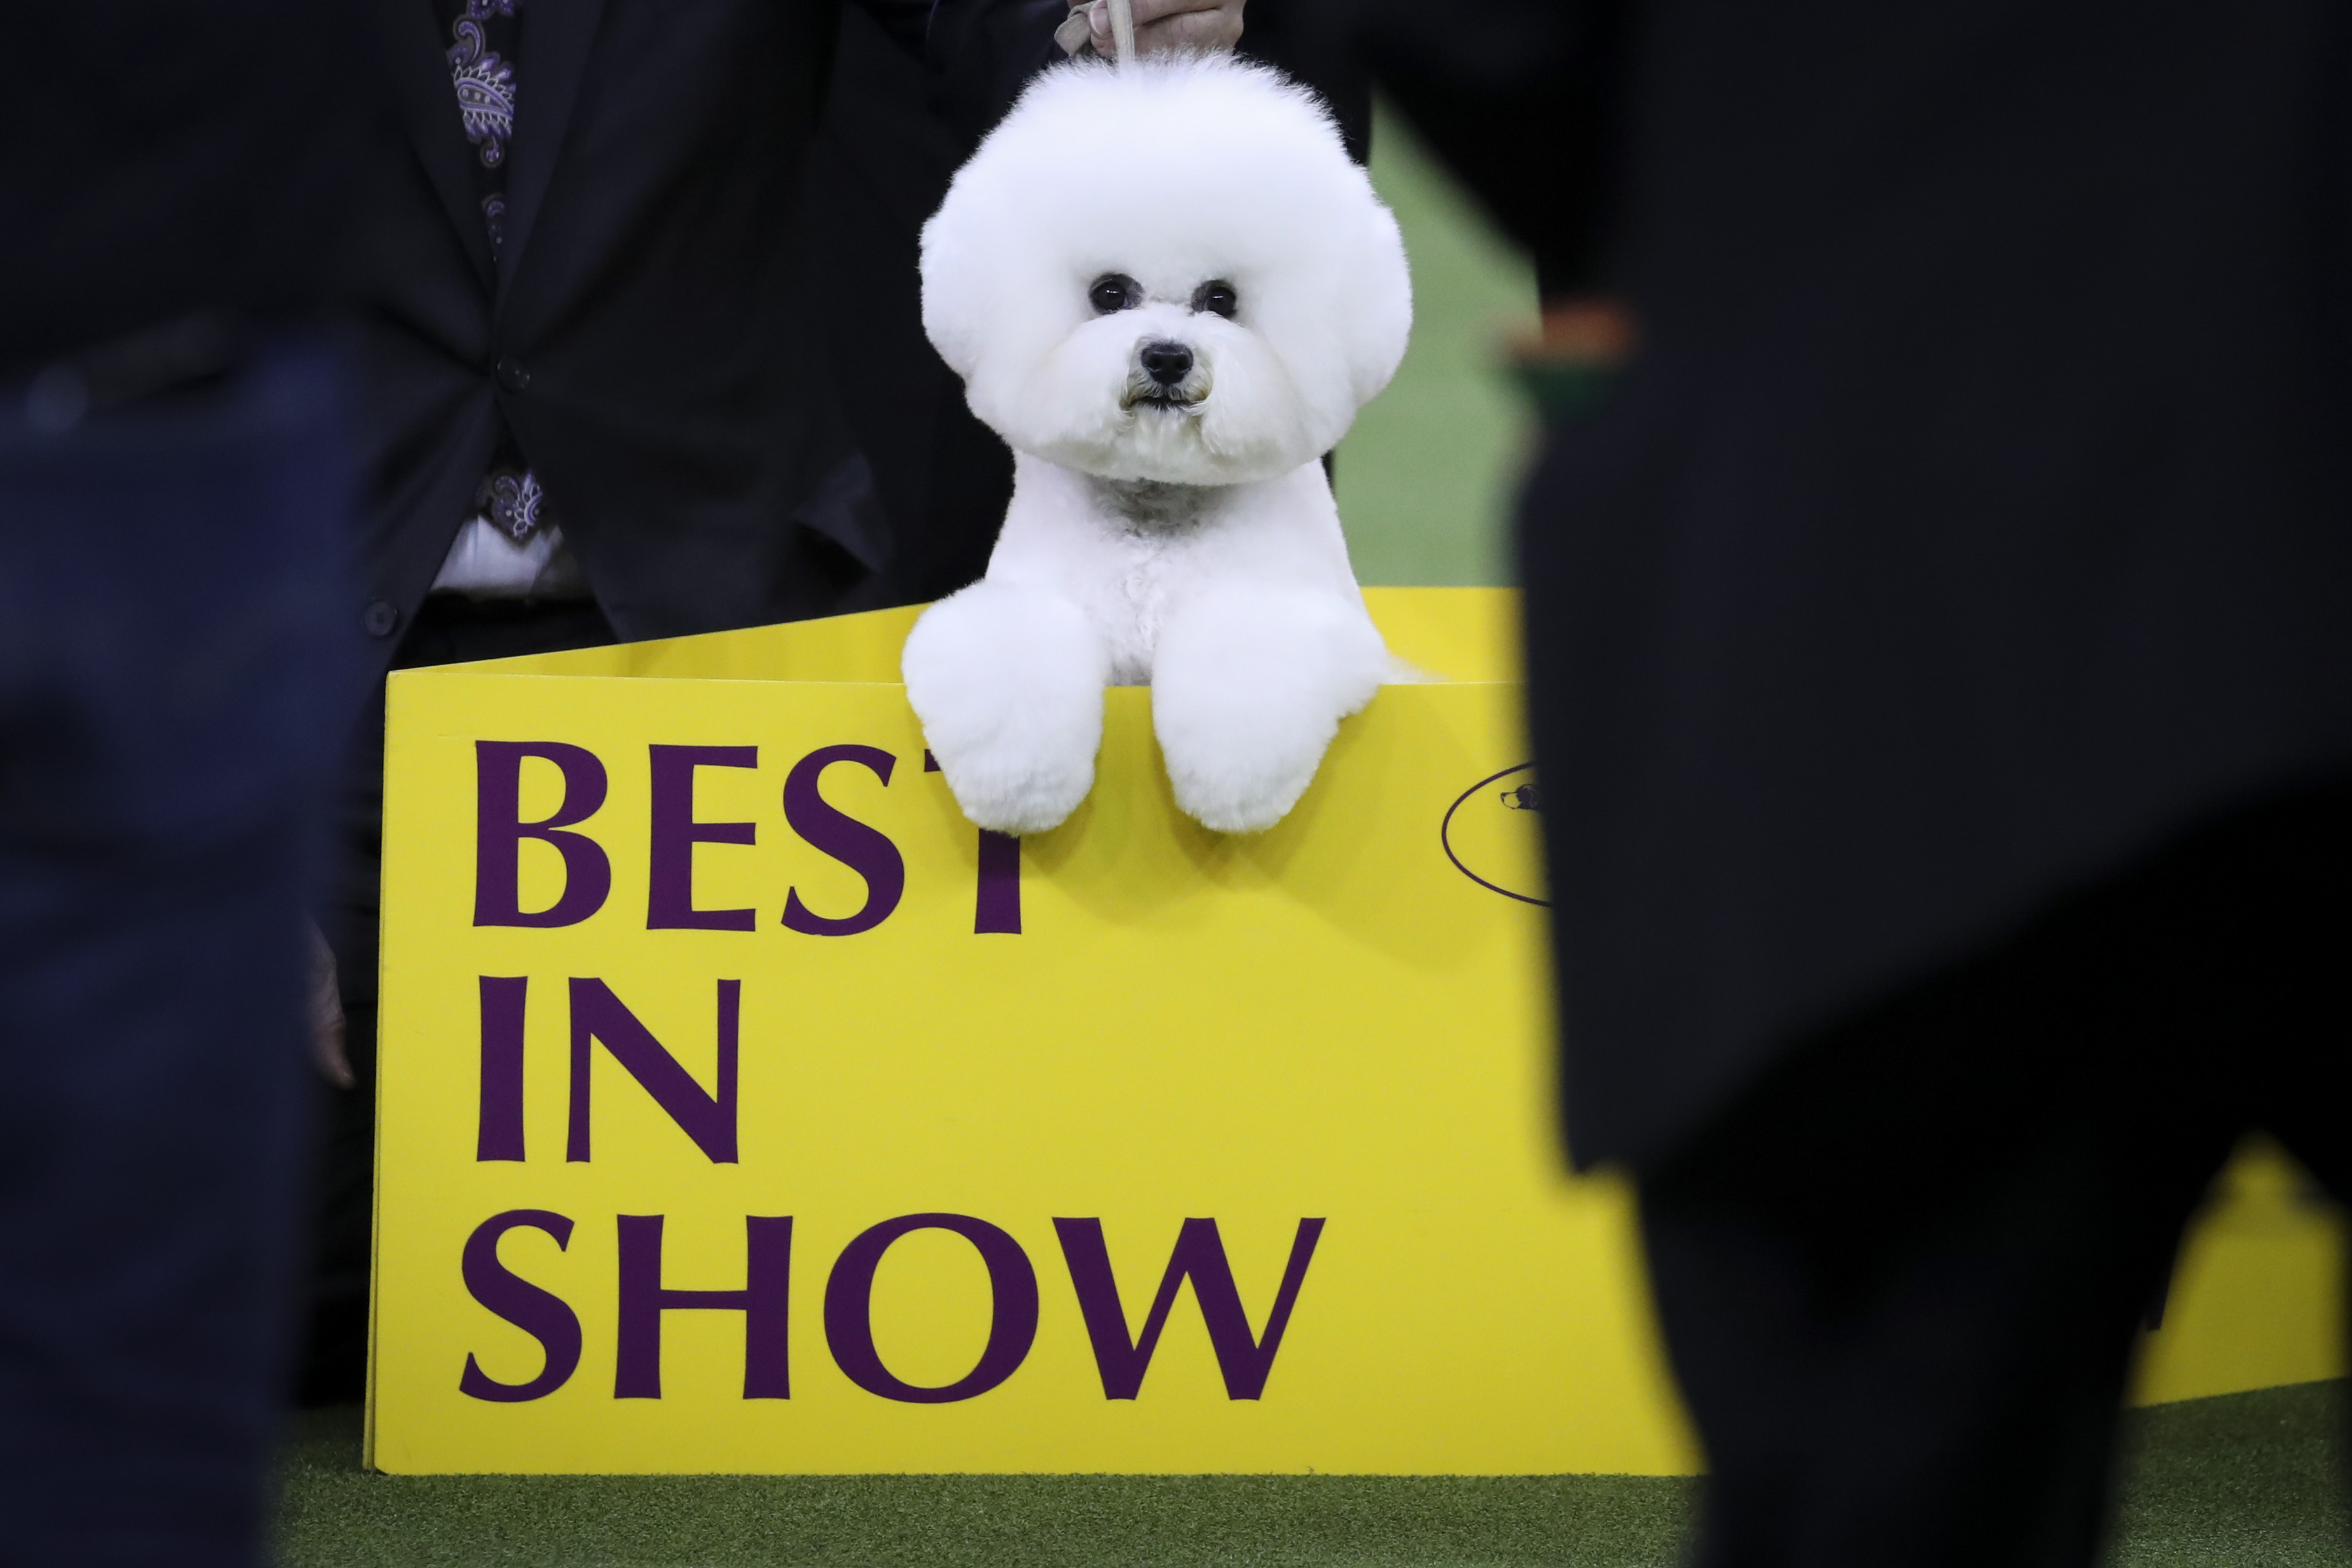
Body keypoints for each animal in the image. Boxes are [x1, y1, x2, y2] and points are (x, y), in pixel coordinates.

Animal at [898, 52, 1411, 832]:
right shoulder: (1029, 601)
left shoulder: (1325, 627)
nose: (1167, 358)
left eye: (1221, 299)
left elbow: (1249, 650)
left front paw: (1233, 783)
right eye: (1110, 293)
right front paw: (1019, 782)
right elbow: (1008, 646)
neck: (1156, 510)